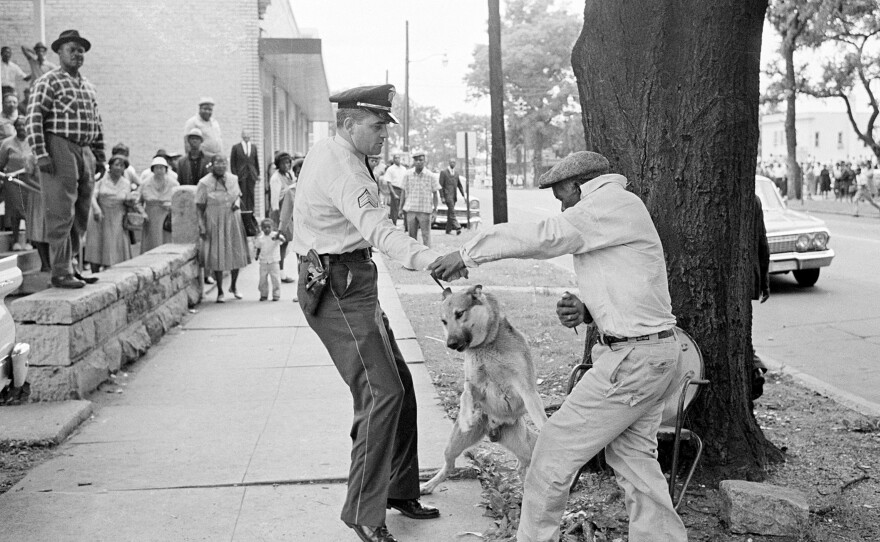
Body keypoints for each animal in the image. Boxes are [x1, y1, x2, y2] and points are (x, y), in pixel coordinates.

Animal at [422, 284, 552, 498]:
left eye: (459, 314)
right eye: (443, 321)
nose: (450, 344)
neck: (487, 344)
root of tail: (494, 427)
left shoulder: (526, 388)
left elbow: (539, 415)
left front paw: (545, 425)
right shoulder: (473, 384)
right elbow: (466, 396)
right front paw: (466, 416)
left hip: (527, 445)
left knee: (525, 463)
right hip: (454, 444)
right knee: (449, 466)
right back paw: (429, 485)